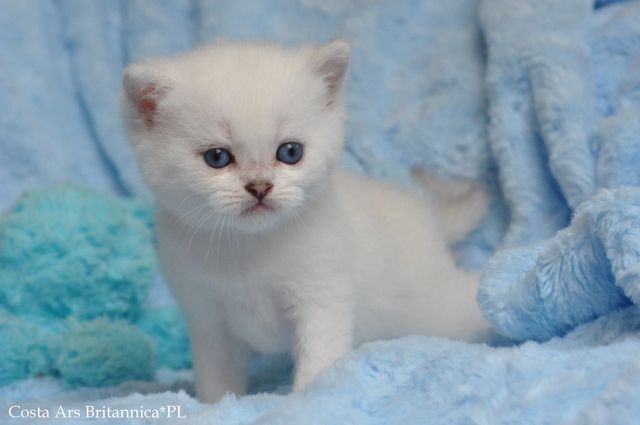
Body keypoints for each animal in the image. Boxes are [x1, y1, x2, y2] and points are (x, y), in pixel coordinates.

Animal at [122, 40, 490, 403]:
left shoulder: (322, 298)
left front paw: (311, 399)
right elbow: (217, 380)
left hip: (434, 309)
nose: (259, 187)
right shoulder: (207, 318)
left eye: (290, 153)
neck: (248, 247)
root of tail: (429, 215)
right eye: (217, 158)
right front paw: (215, 406)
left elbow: (319, 357)